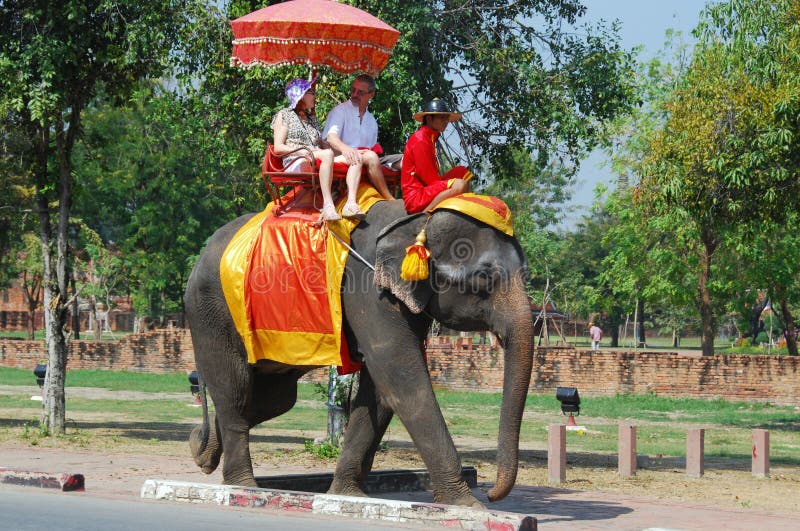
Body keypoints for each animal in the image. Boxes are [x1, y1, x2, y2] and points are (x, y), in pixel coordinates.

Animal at [185, 198, 534, 508]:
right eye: (484, 279)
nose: (491, 494)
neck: (415, 216)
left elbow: (379, 390)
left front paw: (347, 495)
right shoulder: (367, 290)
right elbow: (399, 375)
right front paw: (467, 504)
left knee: (273, 399)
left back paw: (201, 450)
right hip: (212, 316)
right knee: (236, 392)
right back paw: (242, 485)